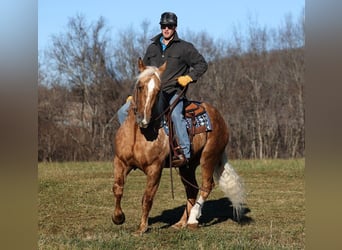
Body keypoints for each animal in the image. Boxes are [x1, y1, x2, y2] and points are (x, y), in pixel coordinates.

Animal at [112, 57, 246, 235]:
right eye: (140, 86)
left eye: (158, 91)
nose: (144, 119)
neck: (139, 134)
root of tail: (218, 116)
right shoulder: (120, 162)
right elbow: (117, 188)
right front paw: (118, 217)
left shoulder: (155, 168)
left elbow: (147, 198)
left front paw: (141, 228)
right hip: (187, 166)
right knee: (192, 190)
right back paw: (181, 222)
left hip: (209, 157)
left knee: (206, 186)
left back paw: (192, 219)